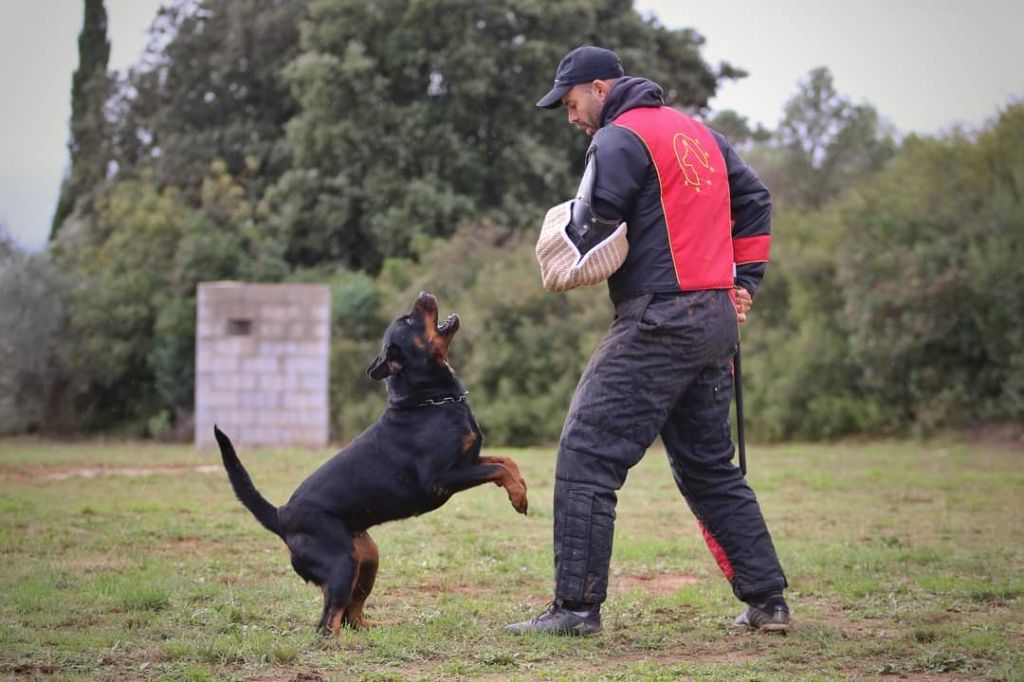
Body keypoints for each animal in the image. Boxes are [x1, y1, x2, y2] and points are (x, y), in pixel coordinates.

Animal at [220, 290, 532, 630]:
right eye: (407, 320)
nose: (423, 294)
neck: (431, 399)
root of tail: (280, 516)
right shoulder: (441, 478)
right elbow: (497, 468)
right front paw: (518, 496)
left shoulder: (468, 460)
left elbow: (507, 461)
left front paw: (521, 489)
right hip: (342, 562)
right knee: (328, 623)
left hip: (367, 557)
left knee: (351, 616)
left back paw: (379, 629)